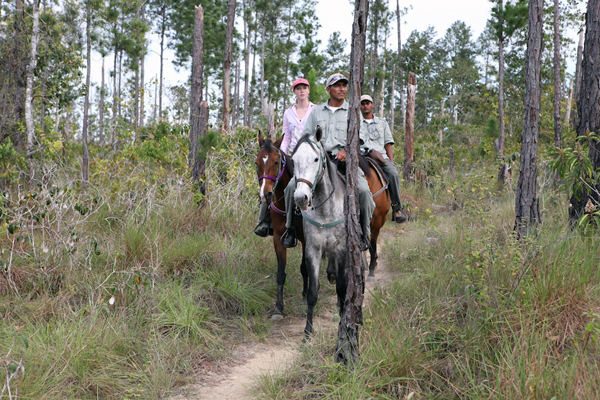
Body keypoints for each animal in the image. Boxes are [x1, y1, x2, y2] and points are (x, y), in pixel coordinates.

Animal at [254, 133, 308, 320]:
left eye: (276, 162)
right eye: (256, 163)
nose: (266, 194)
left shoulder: (308, 240)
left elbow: (305, 267)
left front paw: (306, 296)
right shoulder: (278, 238)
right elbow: (280, 274)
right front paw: (278, 308)